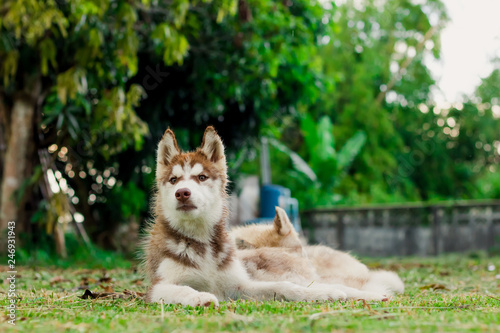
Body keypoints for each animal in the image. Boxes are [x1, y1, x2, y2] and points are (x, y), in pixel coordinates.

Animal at [143, 126, 362, 306]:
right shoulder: (158, 287)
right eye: (174, 180)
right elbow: (182, 289)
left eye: (201, 177)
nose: (182, 193)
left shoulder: (240, 286)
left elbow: (283, 286)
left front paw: (319, 294)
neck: (201, 242)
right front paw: (200, 296)